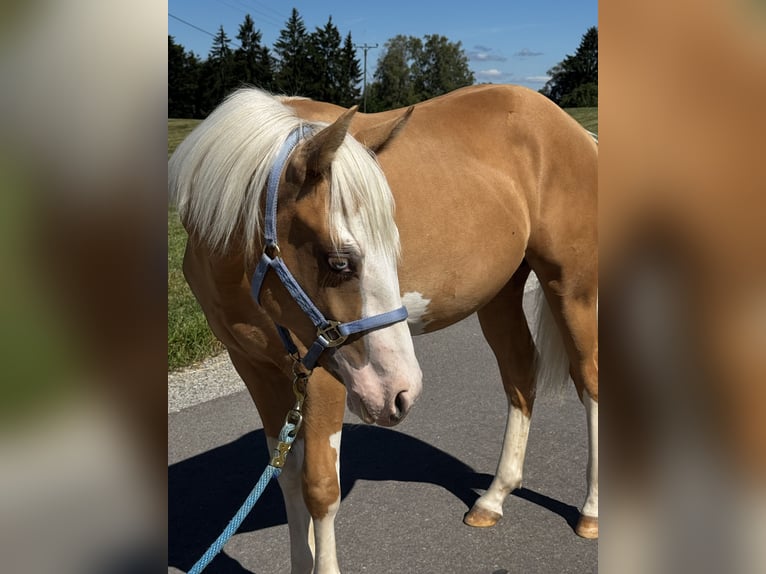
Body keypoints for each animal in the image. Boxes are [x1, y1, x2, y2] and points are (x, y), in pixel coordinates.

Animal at [169, 83, 598, 573]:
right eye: (339, 261)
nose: (401, 393)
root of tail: (575, 130)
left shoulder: (323, 374)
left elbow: (321, 488)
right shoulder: (256, 368)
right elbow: (288, 479)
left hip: (572, 287)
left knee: (589, 379)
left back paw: (590, 512)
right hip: (500, 294)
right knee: (521, 375)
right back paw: (493, 498)